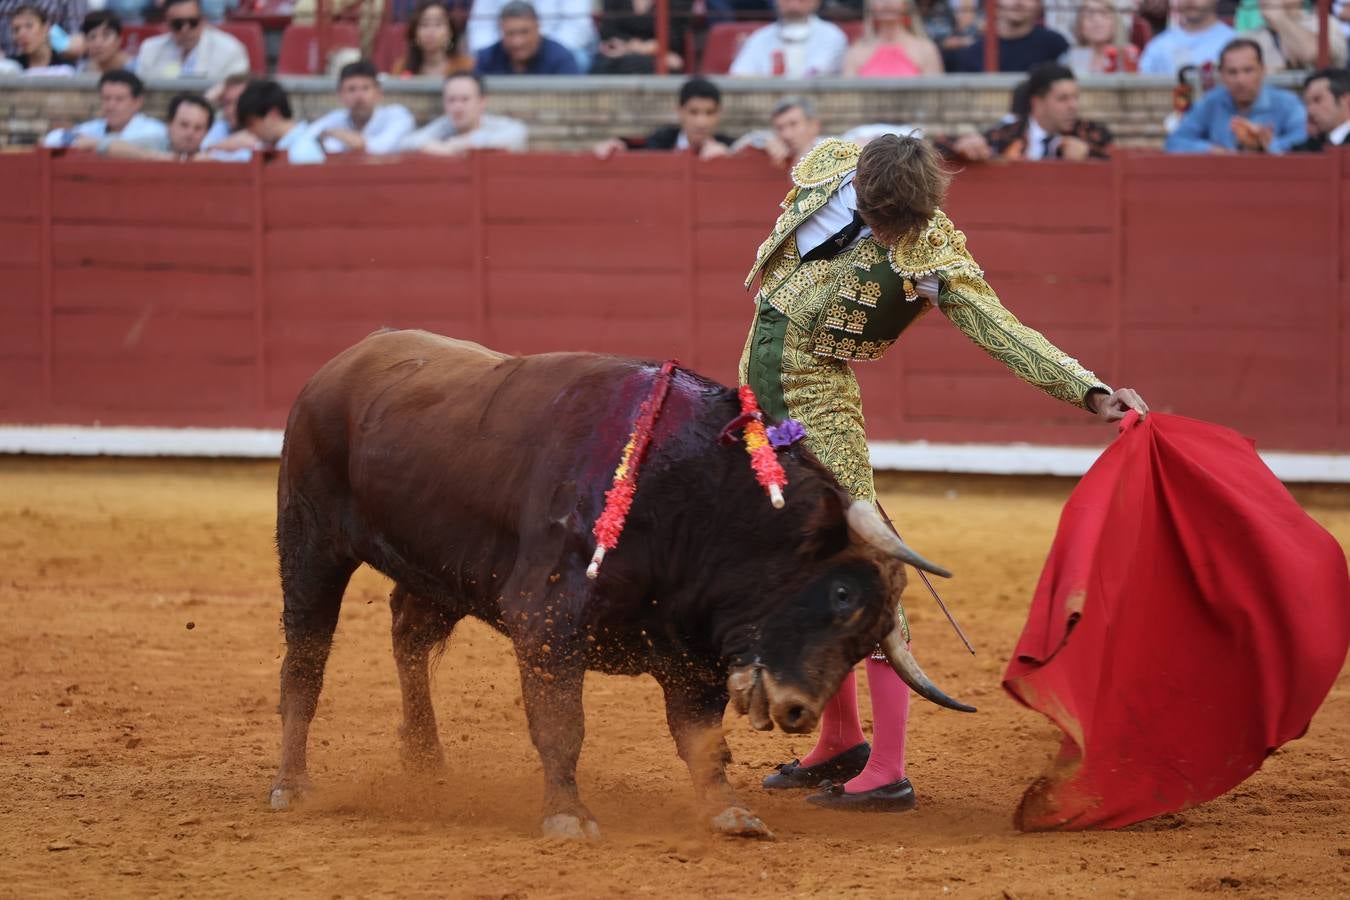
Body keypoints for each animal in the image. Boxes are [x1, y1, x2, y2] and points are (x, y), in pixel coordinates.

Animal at [271, 329, 972, 836]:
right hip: (309, 543)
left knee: (408, 637)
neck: (695, 498)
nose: (800, 711)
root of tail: (338, 366)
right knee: (305, 658)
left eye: (867, 637)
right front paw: (567, 815)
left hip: (438, 572)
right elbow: (562, 723)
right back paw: (291, 785)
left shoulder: (692, 651)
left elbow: (702, 740)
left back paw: (425, 764)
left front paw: (727, 812)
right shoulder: (546, 618)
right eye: (842, 593)